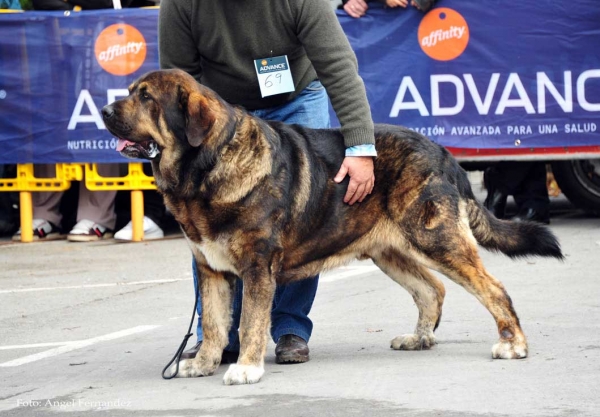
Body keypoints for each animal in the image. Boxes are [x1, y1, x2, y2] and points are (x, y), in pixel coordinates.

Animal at [102, 68, 564, 384]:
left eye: (146, 97)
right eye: (130, 92)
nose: (104, 110)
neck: (205, 168)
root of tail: (444, 153)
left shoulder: (256, 267)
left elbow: (250, 321)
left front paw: (246, 369)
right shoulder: (211, 268)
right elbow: (215, 323)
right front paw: (202, 363)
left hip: (435, 239)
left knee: (493, 289)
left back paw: (513, 344)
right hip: (390, 251)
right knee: (432, 290)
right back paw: (418, 339)